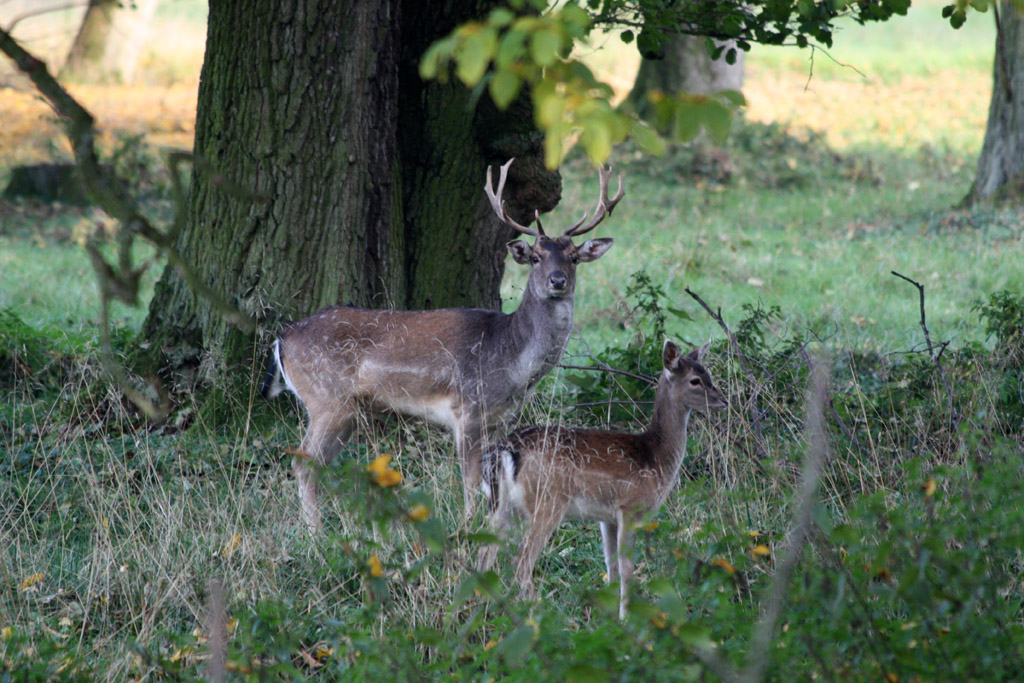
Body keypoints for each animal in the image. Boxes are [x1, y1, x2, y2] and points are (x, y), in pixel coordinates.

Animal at [262, 158, 622, 528]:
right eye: (535, 257)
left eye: (574, 257)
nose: (557, 280)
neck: (512, 362)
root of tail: (283, 338)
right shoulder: (468, 409)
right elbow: (470, 479)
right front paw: (468, 526)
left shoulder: (500, 421)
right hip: (327, 398)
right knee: (302, 461)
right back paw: (315, 532)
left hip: (345, 410)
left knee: (315, 462)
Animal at [481, 342, 729, 618]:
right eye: (695, 380)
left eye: (707, 372)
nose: (724, 400)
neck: (655, 457)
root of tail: (506, 450)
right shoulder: (630, 507)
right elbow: (627, 567)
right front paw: (626, 616)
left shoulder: (606, 517)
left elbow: (610, 564)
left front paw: (609, 617)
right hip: (547, 501)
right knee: (521, 560)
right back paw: (538, 613)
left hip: (500, 505)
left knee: (484, 552)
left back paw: (481, 609)